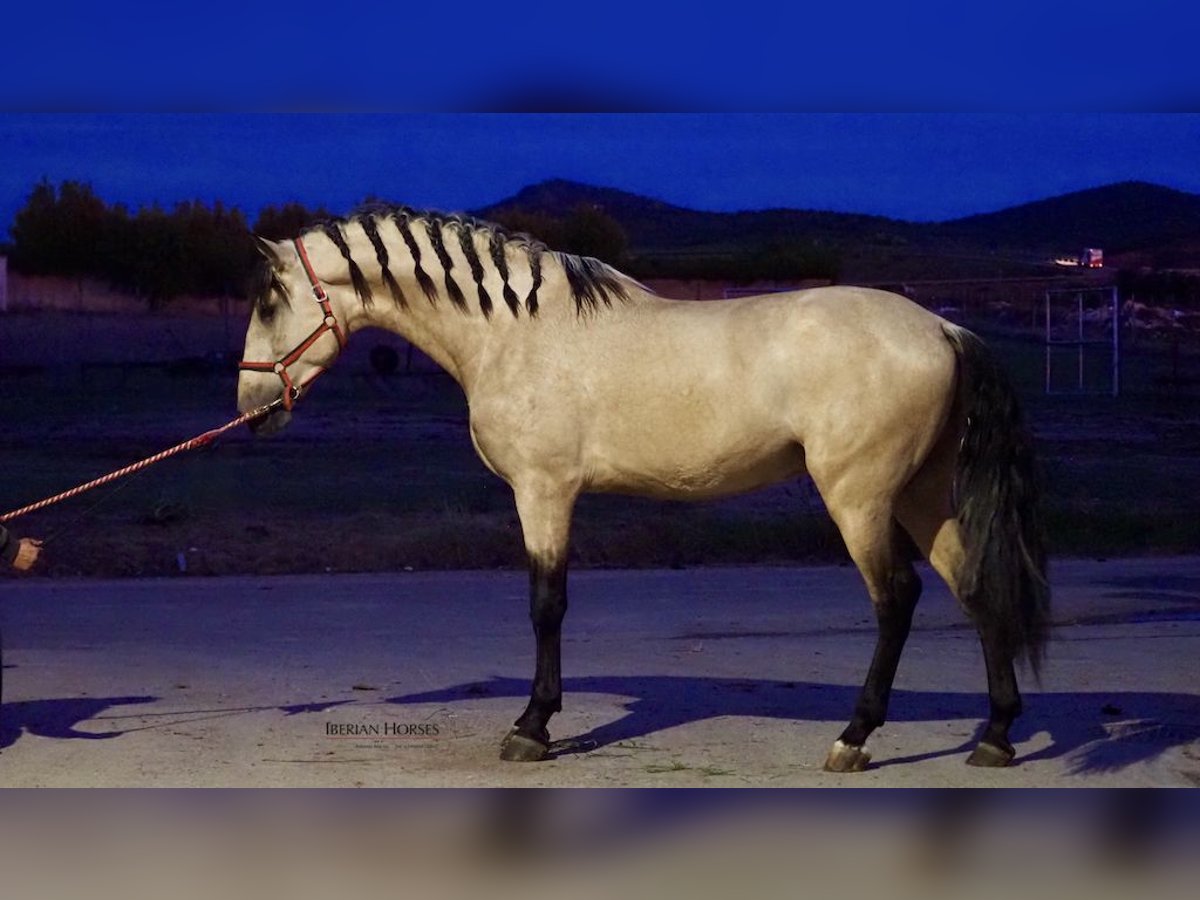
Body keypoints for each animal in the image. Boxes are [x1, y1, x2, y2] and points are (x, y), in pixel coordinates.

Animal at [236, 206, 1051, 777]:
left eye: (271, 299)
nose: (250, 406)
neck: (516, 332)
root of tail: (944, 328)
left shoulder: (544, 492)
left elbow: (547, 605)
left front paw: (532, 728)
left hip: (860, 497)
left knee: (897, 599)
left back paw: (854, 740)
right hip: (923, 496)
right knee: (976, 588)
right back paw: (996, 737)